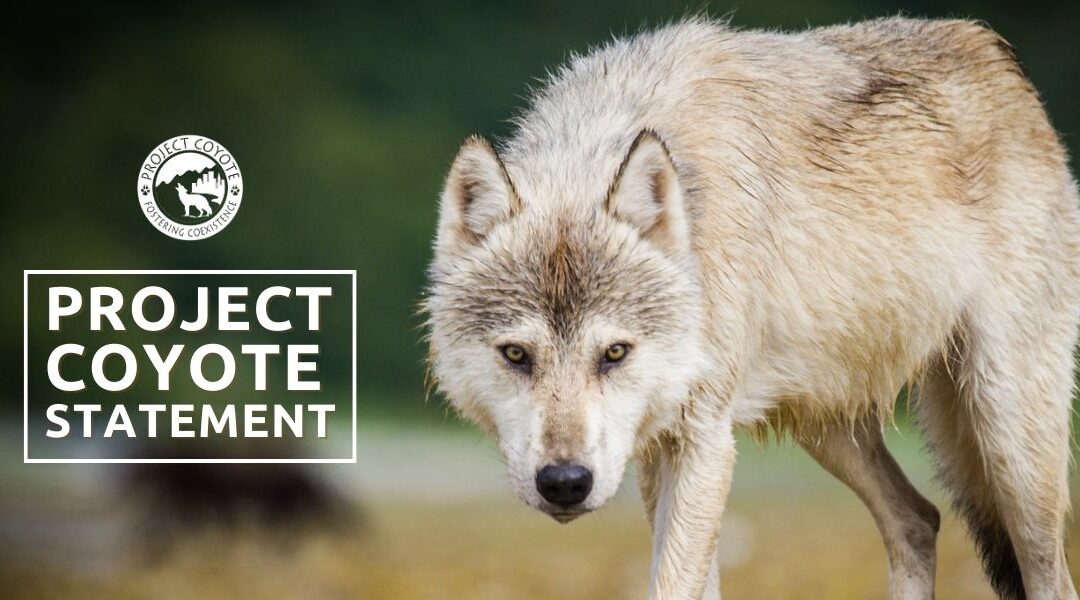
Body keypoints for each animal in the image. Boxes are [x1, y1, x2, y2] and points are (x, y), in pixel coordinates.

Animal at [423, 16, 1080, 600]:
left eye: (614, 353)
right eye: (516, 354)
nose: (564, 483)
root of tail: (999, 59)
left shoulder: (704, 442)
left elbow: (674, 585)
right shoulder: (664, 452)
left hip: (1009, 441)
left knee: (1049, 573)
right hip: (830, 428)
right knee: (919, 520)